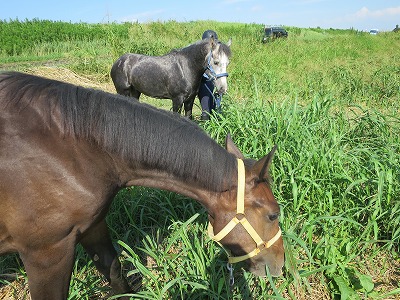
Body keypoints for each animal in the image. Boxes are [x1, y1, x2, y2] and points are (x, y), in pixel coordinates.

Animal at [0, 71, 284, 298]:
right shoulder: (47, 253)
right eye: (273, 215)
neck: (75, 151)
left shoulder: (92, 225)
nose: (281, 264)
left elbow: (114, 270)